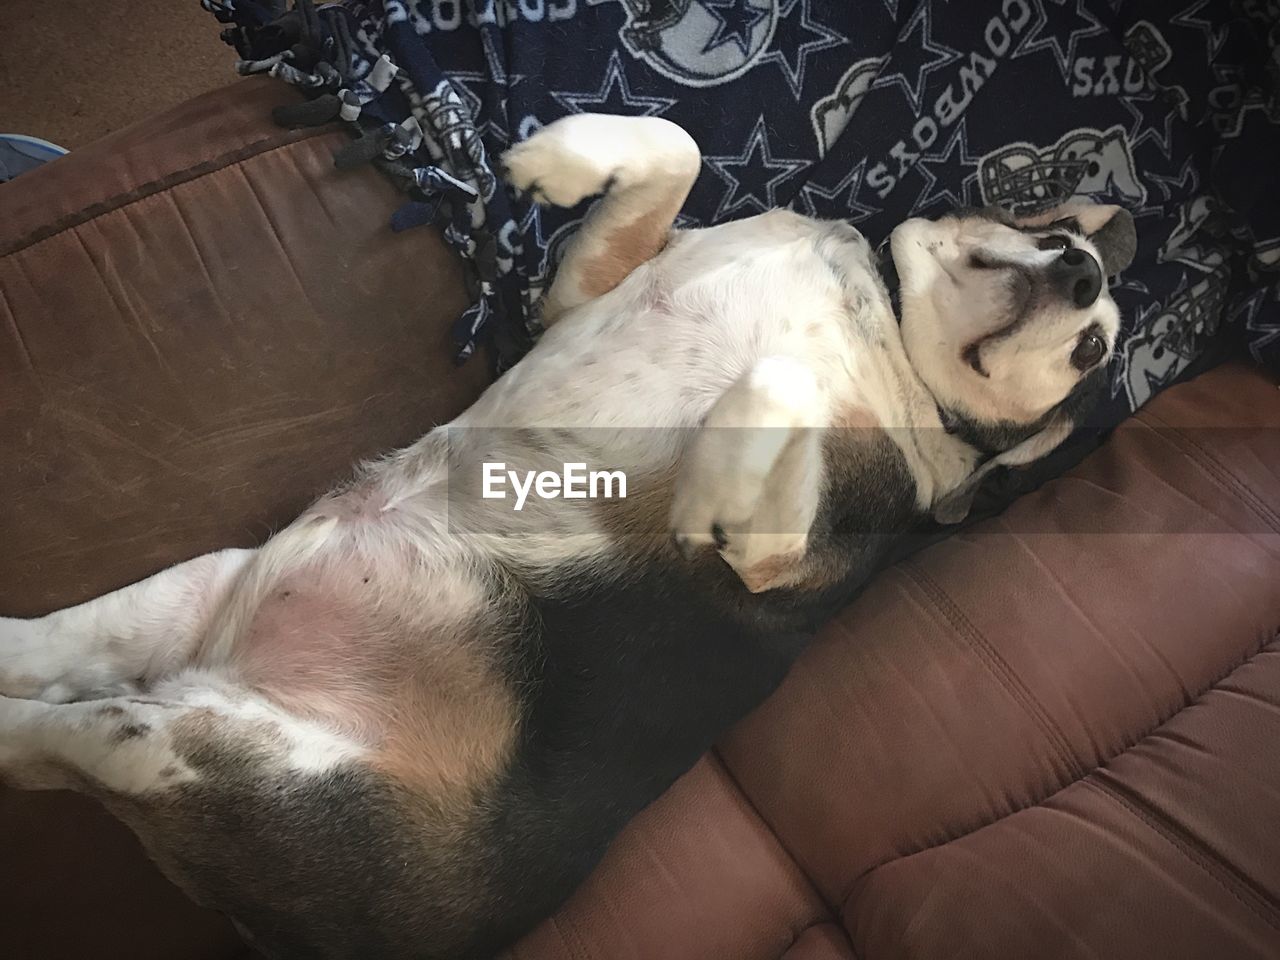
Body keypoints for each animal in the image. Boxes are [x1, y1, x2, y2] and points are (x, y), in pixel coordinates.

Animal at [0, 114, 1141, 960]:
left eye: (1090, 350)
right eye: (1056, 240)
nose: (1083, 278)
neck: (892, 329)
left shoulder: (782, 555)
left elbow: (780, 383)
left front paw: (716, 473)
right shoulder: (587, 290)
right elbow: (675, 146)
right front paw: (558, 157)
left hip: (213, 756)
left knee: (53, 734)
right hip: (181, 604)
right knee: (48, 660)